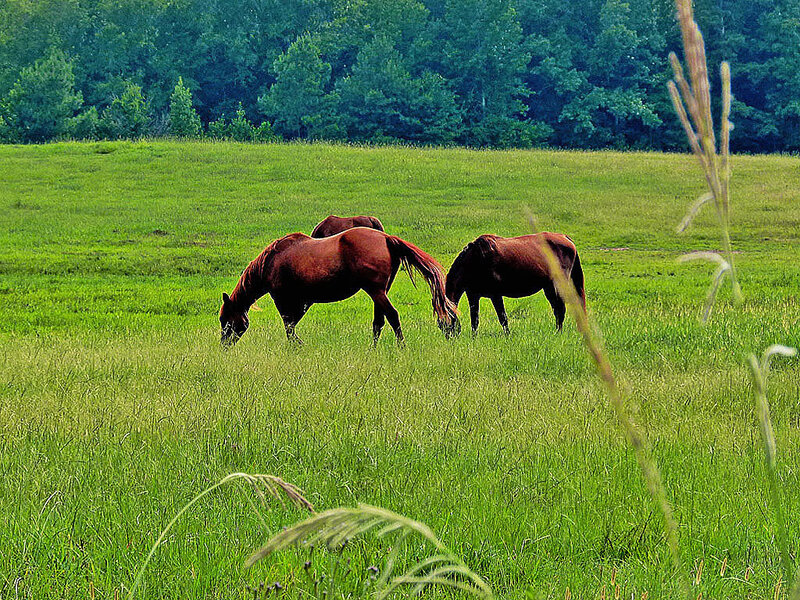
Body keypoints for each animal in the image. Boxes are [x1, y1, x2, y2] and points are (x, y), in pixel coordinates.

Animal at [219, 227, 457, 347]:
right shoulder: (303, 301)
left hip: (376, 291)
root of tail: (386, 238)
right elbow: (292, 323)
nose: (224, 345)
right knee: (379, 321)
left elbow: (288, 325)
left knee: (392, 316)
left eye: (225, 320)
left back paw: (401, 347)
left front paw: (296, 345)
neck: (272, 261)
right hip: (380, 292)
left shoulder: (283, 298)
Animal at [444, 232, 585, 335]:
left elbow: (502, 318)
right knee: (557, 309)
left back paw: (558, 333)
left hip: (558, 285)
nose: (449, 337)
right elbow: (475, 320)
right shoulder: (473, 295)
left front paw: (507, 336)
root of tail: (565, 238)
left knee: (560, 309)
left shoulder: (495, 295)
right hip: (549, 287)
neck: (475, 260)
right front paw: (474, 338)